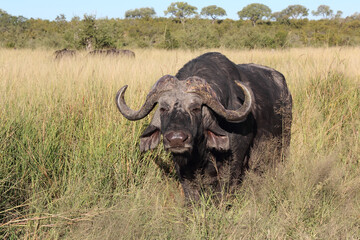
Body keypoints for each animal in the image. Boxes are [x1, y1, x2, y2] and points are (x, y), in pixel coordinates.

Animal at [116, 52, 292, 201]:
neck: (201, 150)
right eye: (163, 108)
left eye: (195, 108)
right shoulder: (182, 167)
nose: (176, 139)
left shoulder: (233, 161)